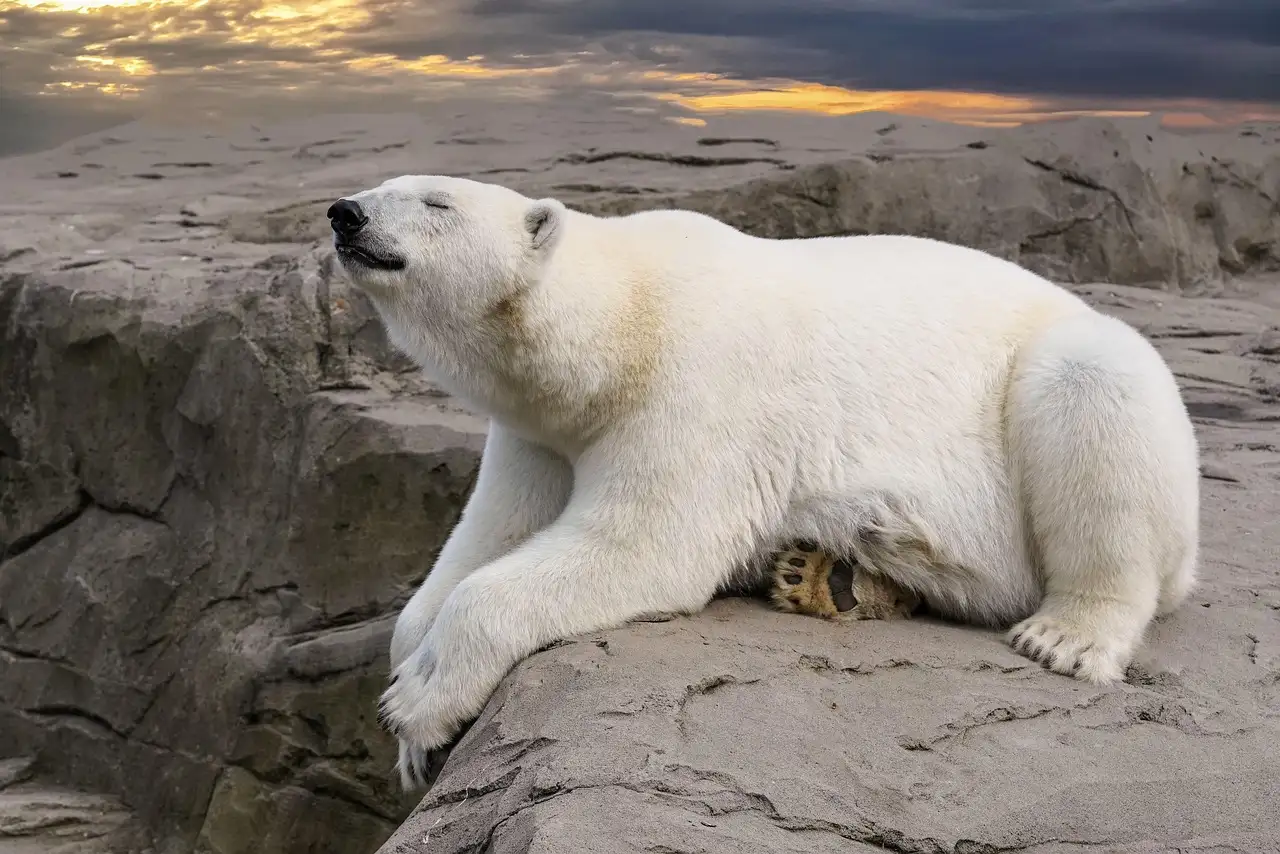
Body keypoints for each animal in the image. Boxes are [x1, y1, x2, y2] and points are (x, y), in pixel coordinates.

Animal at [327, 175, 1200, 789]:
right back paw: (828, 573)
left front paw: (418, 701)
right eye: (386, 184)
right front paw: (413, 725)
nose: (345, 214)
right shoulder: (540, 432)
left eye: (436, 200)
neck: (622, 322)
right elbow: (490, 534)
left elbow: (643, 545)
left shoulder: (699, 382)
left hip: (1065, 387)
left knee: (1092, 393)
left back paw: (1066, 634)